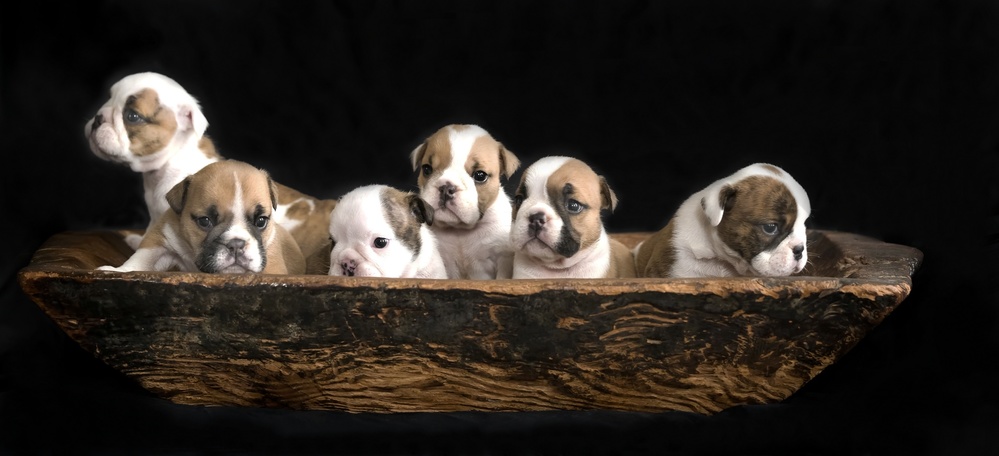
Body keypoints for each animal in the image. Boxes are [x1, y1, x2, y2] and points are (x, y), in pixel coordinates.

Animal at [101, 160, 306, 274]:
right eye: (205, 221)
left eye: (261, 221)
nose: (236, 244)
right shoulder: (161, 239)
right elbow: (141, 259)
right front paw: (118, 271)